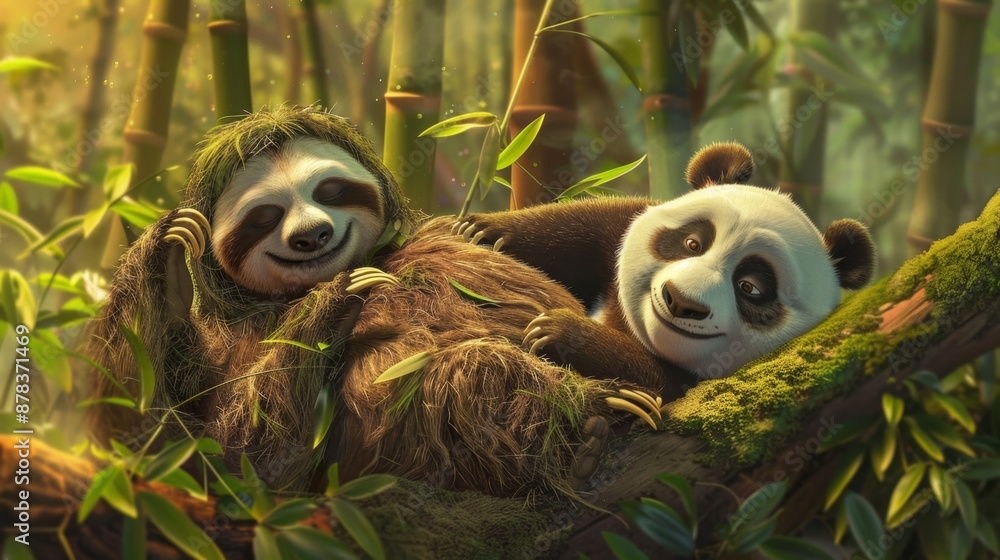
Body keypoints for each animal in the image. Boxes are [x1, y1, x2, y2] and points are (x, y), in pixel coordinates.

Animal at [455, 142, 876, 392]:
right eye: (693, 244)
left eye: (750, 287)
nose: (681, 301)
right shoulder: (616, 231)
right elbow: (582, 226)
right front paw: (483, 231)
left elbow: (655, 377)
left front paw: (560, 332)